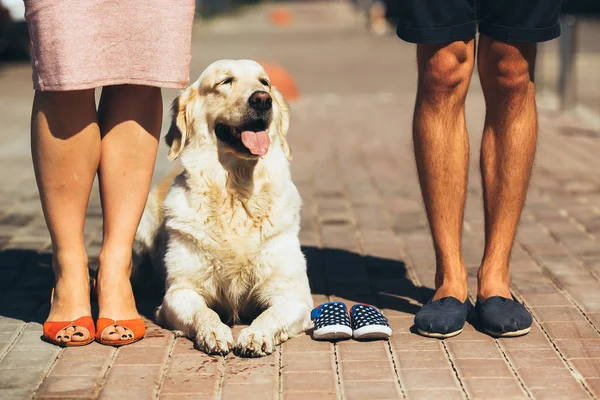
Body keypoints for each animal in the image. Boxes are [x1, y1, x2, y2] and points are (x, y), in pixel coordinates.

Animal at [134, 59, 314, 356]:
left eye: (265, 82)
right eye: (225, 81)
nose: (262, 100)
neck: (236, 193)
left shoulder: (292, 294)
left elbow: (270, 315)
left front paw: (256, 335)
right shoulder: (179, 292)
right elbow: (204, 313)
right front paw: (214, 332)